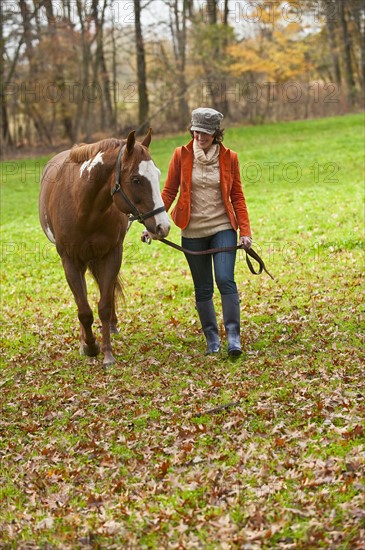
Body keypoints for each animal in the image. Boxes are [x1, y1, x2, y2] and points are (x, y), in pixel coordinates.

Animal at [39, 132, 170, 368]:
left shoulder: (111, 255)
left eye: (156, 174)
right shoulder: (70, 261)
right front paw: (89, 346)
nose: (162, 226)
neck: (83, 207)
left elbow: (105, 306)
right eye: (136, 179)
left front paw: (107, 352)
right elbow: (83, 309)